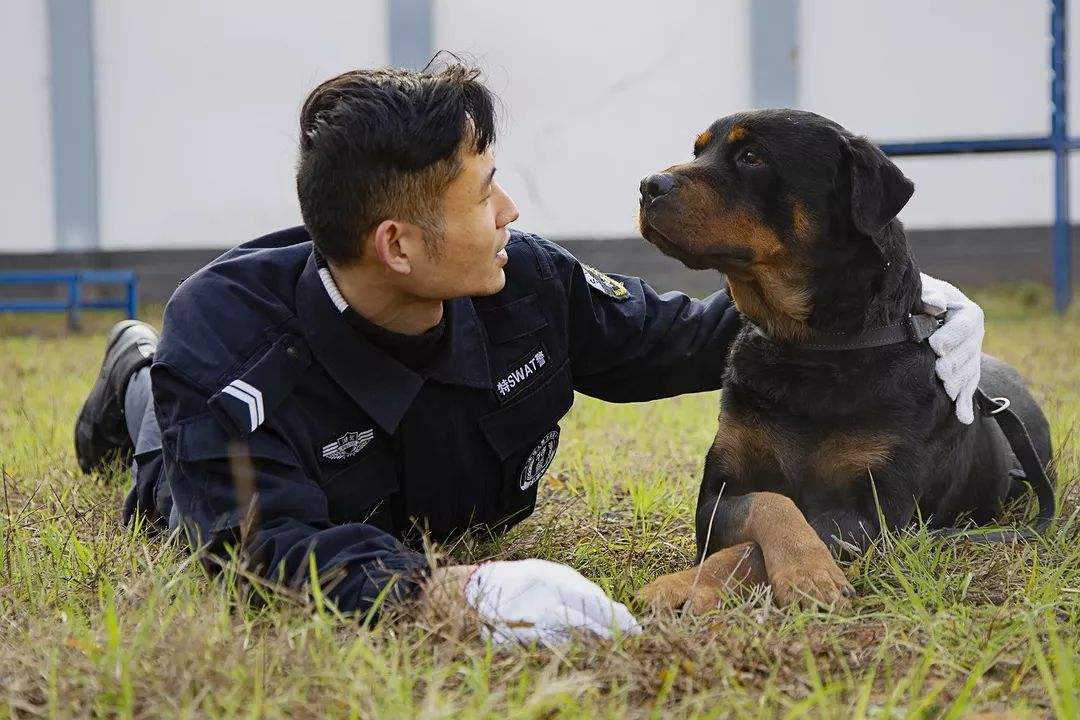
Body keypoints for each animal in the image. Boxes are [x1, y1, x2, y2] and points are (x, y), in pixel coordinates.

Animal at [630, 112, 1054, 613]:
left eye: (752, 156)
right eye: (698, 151)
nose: (648, 185)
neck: (810, 351)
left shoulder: (875, 513)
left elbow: (768, 540)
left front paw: (794, 575)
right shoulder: (718, 491)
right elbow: (769, 502)